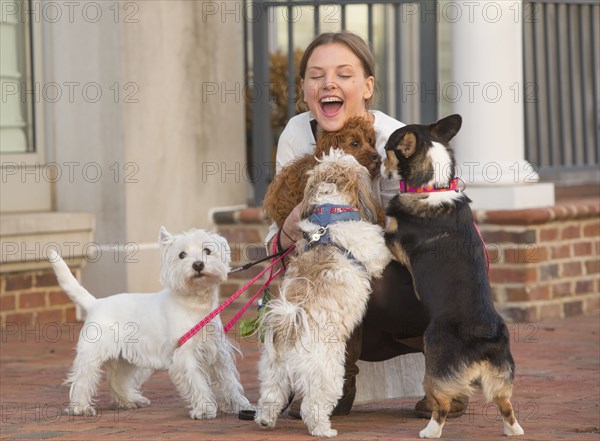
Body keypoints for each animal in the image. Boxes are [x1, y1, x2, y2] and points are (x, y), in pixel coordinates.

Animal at [48, 227, 252, 420]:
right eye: (182, 255)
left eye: (207, 250)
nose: (198, 264)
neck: (196, 303)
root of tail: (95, 303)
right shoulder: (186, 353)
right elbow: (198, 382)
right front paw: (204, 410)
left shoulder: (218, 353)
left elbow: (229, 381)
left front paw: (240, 406)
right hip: (93, 352)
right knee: (83, 378)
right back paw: (81, 408)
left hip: (125, 358)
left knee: (117, 380)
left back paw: (130, 401)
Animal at [254, 151, 392, 436]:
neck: (330, 213)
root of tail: (290, 327)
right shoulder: (374, 250)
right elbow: (382, 253)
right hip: (326, 374)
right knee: (313, 405)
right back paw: (323, 429)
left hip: (274, 370)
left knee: (271, 396)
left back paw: (265, 419)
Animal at [384, 113, 524, 436]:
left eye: (386, 149)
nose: (374, 155)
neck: (431, 186)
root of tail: (486, 334)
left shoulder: (394, 242)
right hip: (501, 376)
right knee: (506, 405)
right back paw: (513, 431)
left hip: (435, 361)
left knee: (442, 405)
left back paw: (430, 431)